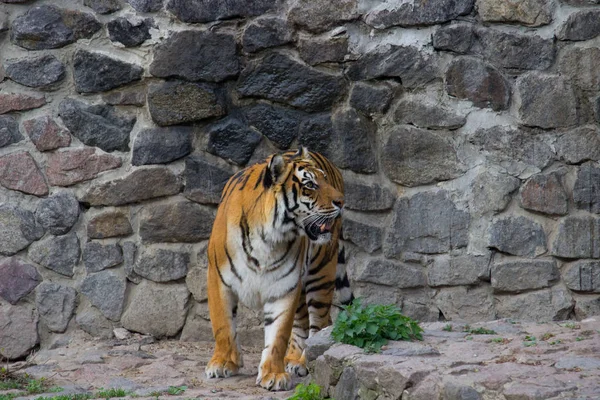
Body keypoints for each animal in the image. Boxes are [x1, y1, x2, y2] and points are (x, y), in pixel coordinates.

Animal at [205, 146, 352, 390]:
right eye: (310, 185)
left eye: (323, 180)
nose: (342, 202)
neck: (268, 238)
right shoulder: (218, 280)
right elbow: (222, 325)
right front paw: (223, 363)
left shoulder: (283, 287)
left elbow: (278, 335)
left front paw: (273, 374)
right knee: (304, 323)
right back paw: (292, 359)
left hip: (320, 274)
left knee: (320, 322)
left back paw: (303, 362)